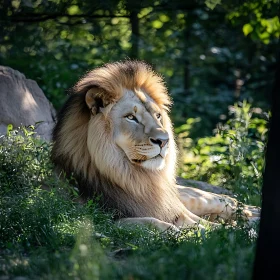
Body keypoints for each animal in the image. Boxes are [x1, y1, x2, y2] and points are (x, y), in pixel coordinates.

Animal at [51, 60, 262, 231]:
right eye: (131, 117)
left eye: (158, 116)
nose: (164, 140)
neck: (135, 179)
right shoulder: (98, 219)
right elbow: (155, 223)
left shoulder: (175, 210)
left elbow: (207, 226)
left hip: (194, 198)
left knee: (230, 202)